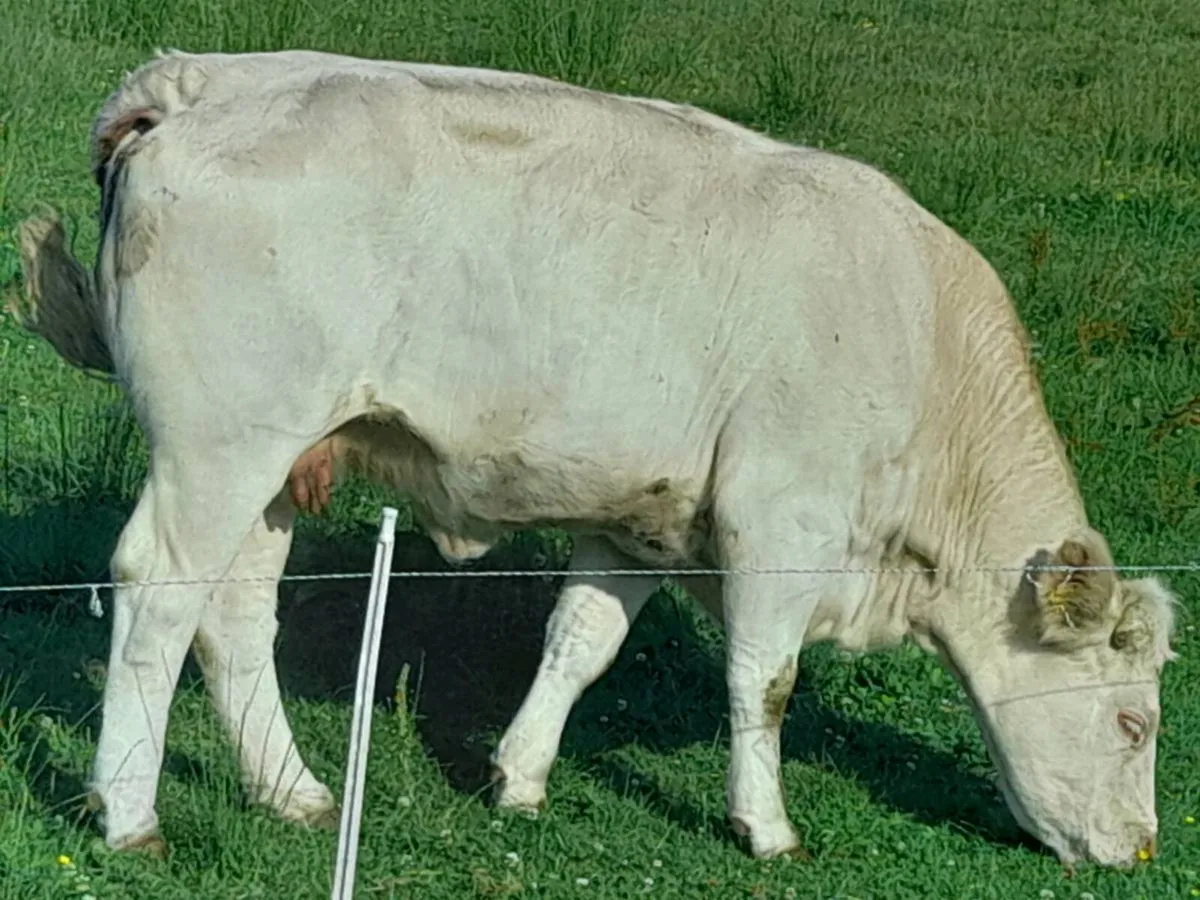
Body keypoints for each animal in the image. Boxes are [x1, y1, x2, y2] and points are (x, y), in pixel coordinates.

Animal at [13, 48, 1178, 869]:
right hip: (221, 443)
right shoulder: (783, 515)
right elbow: (766, 679)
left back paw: (292, 791)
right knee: (160, 593)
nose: (1141, 851)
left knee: (236, 613)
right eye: (1133, 721)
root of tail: (204, 78)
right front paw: (766, 827)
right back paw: (129, 814)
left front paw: (520, 778)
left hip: (280, 458)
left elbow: (581, 642)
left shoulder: (645, 519)